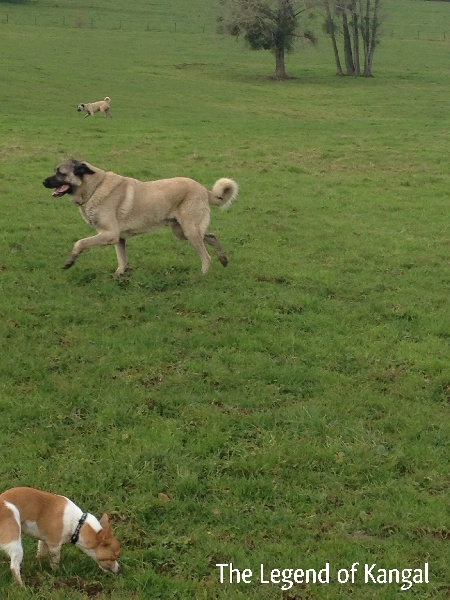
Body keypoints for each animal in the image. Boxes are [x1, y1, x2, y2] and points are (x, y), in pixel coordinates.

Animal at [43, 159, 239, 275]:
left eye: (60, 172)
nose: (43, 182)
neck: (94, 187)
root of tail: (203, 189)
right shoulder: (118, 238)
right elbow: (121, 260)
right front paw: (119, 276)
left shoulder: (109, 234)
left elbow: (80, 243)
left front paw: (69, 261)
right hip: (182, 231)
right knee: (212, 237)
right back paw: (223, 260)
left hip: (189, 230)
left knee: (206, 256)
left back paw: (202, 275)